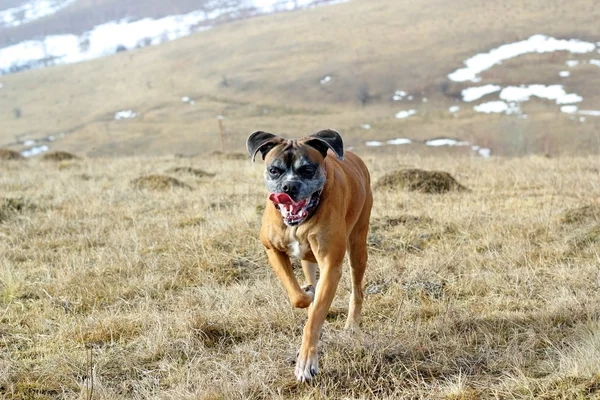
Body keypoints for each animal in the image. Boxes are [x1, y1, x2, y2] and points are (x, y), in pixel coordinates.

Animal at [246, 129, 372, 382]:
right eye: (274, 170)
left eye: (307, 169)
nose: (289, 187)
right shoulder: (272, 250)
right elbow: (297, 296)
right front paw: (307, 295)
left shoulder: (331, 265)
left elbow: (314, 319)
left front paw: (306, 363)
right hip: (308, 260)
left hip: (357, 248)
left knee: (357, 290)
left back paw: (351, 325)